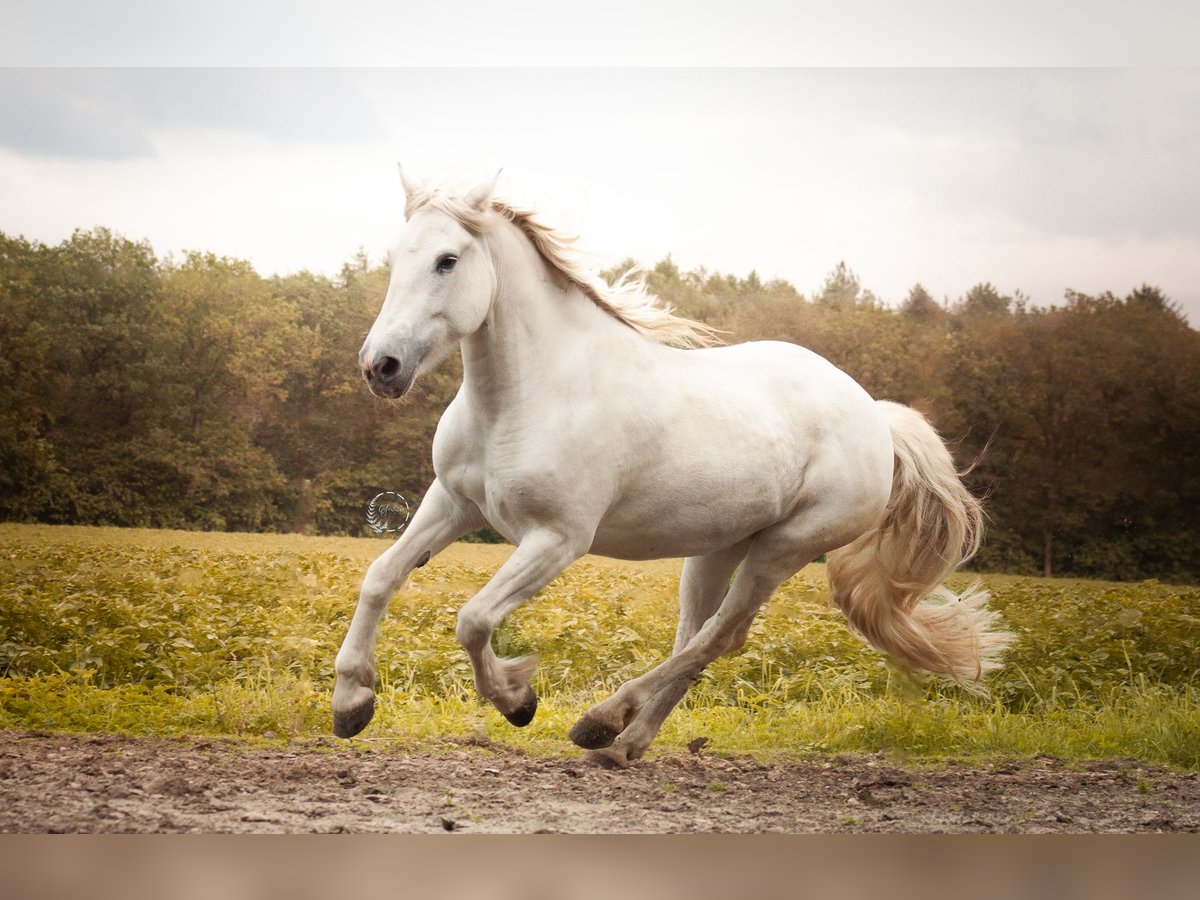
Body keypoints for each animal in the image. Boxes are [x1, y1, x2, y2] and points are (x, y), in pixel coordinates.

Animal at [331, 169, 1012, 768]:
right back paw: (624, 743)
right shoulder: (452, 502)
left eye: (447, 260)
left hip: (785, 548)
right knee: (696, 637)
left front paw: (518, 698)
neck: (526, 396)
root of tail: (876, 419)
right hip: (716, 547)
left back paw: (601, 721)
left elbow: (472, 620)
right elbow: (381, 577)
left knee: (721, 637)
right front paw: (351, 703)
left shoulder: (557, 538)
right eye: (395, 258)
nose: (380, 367)